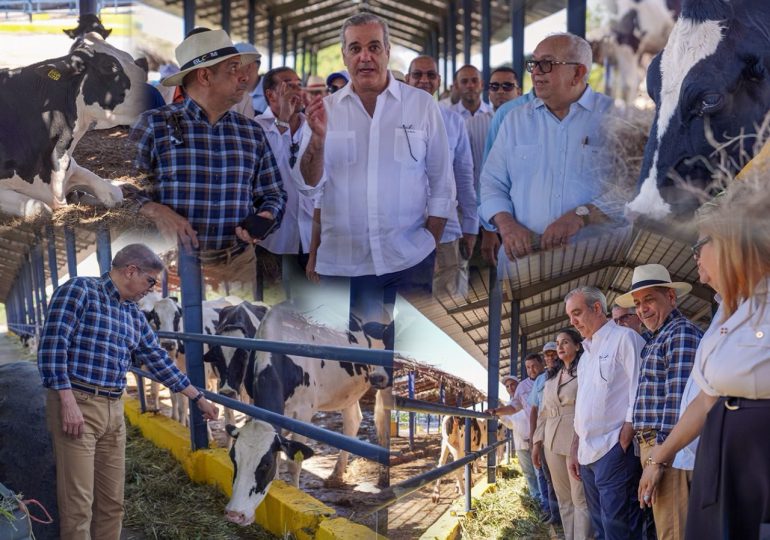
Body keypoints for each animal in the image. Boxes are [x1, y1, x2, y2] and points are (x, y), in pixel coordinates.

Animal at [222, 302, 390, 524]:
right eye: (234, 458)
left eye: (265, 464)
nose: (234, 514)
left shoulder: (303, 412)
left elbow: (293, 463)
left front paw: (294, 495)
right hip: (348, 390)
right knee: (352, 421)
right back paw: (336, 474)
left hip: (384, 379)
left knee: (383, 419)